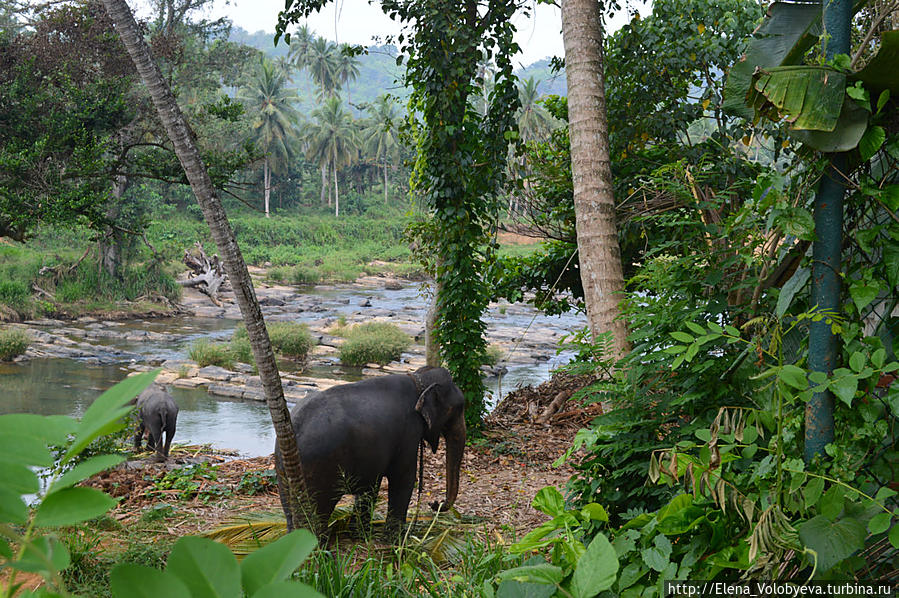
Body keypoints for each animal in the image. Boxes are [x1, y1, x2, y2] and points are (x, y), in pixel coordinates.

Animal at [274, 366, 468, 540]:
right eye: (460, 407)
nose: (435, 503)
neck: (417, 378)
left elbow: (370, 486)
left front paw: (360, 536)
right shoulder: (408, 433)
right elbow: (404, 479)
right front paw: (395, 541)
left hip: (284, 470)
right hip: (319, 468)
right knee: (318, 513)